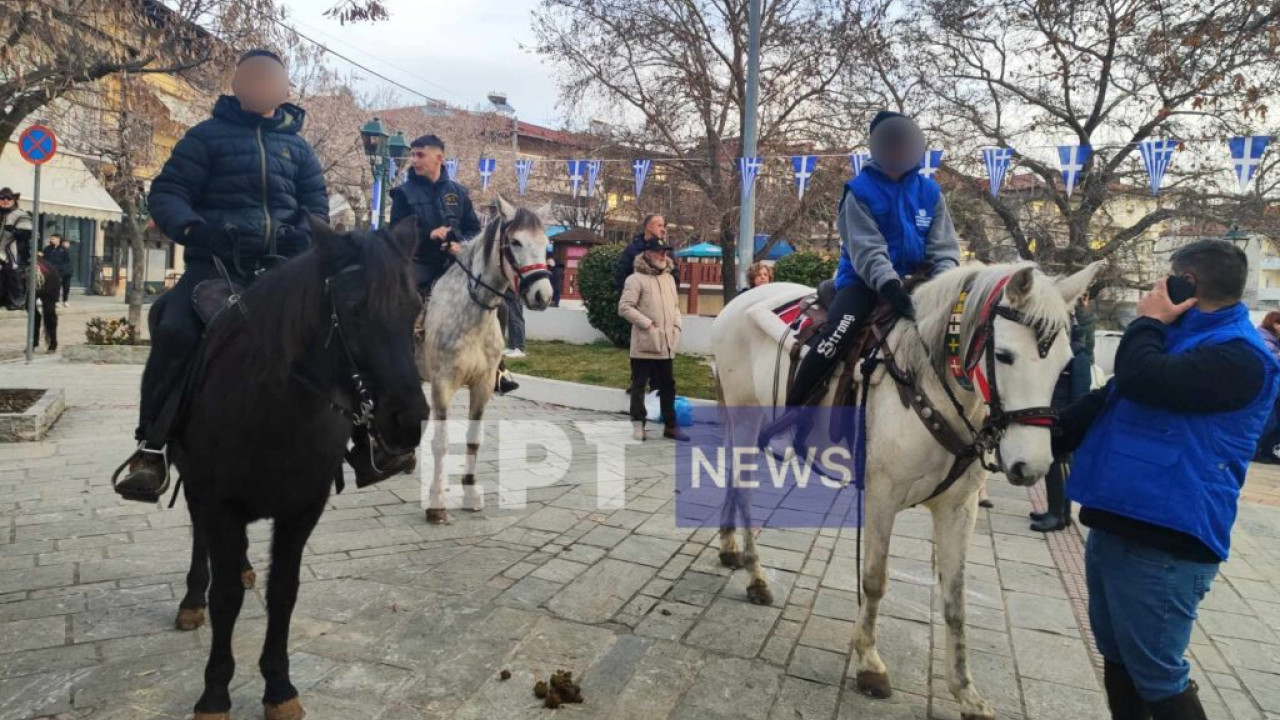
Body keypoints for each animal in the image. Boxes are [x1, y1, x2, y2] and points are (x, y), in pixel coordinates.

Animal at [168, 217, 430, 717]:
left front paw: (279, 686)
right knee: (199, 538)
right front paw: (215, 692)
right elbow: (225, 597)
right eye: (353, 310)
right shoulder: (220, 503)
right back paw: (192, 598)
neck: (275, 411)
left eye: (414, 307)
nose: (409, 421)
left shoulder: (301, 510)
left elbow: (283, 592)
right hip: (194, 486)